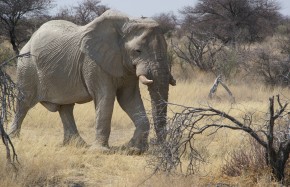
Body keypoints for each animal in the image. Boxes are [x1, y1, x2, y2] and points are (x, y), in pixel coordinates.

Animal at [9, 9, 176, 151]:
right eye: (137, 51)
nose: (159, 146)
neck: (126, 23)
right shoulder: (94, 63)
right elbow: (106, 97)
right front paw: (101, 151)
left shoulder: (125, 66)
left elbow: (128, 98)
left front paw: (133, 149)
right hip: (27, 66)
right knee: (24, 103)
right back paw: (14, 138)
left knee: (66, 107)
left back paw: (78, 145)